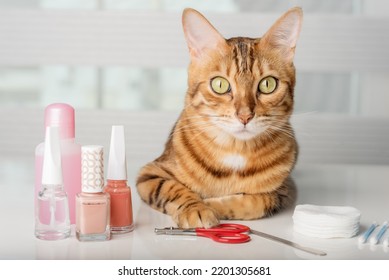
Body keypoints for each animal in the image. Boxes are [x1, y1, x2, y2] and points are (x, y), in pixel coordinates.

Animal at [136, 7, 304, 229]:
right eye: (220, 85)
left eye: (268, 84)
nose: (245, 116)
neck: (235, 151)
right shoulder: (149, 174)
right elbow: (173, 188)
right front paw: (196, 208)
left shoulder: (286, 190)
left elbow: (258, 201)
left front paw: (214, 204)